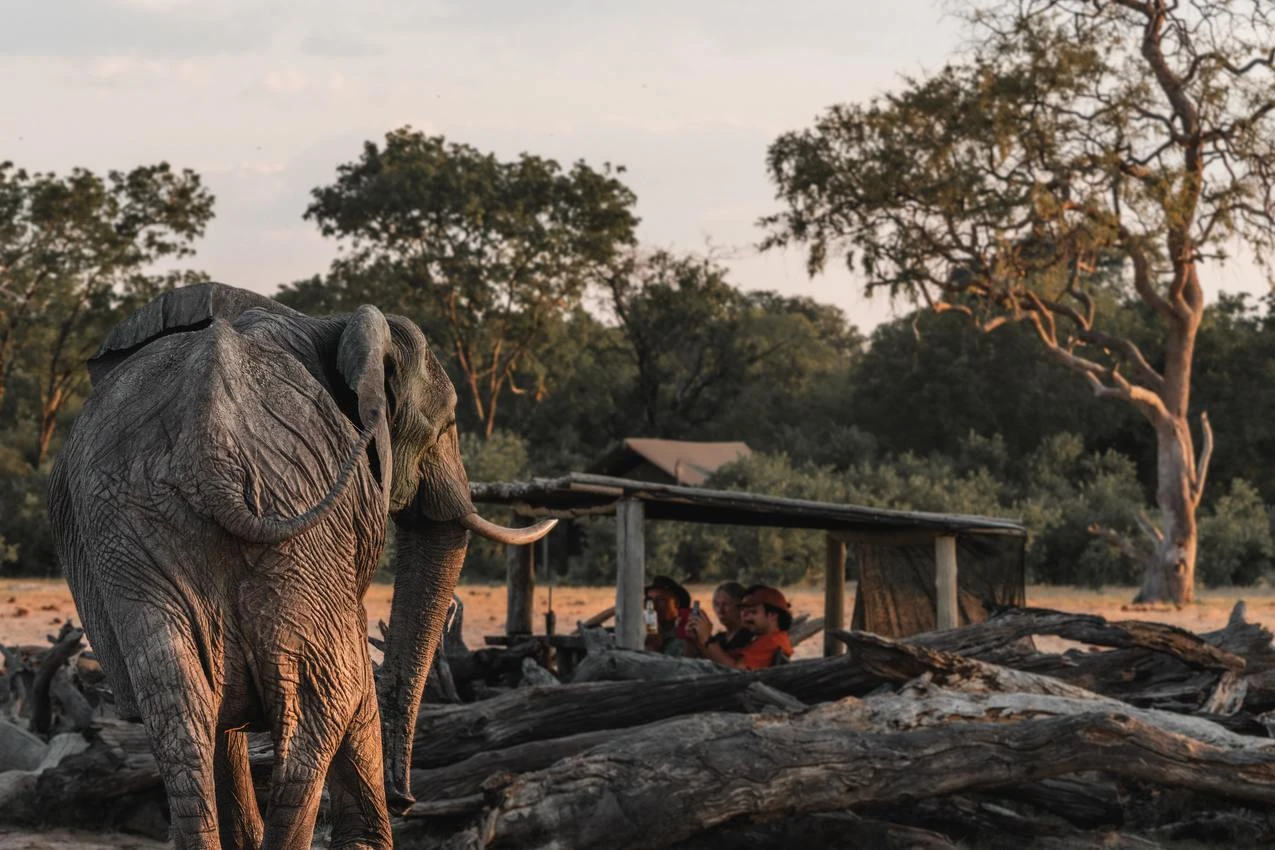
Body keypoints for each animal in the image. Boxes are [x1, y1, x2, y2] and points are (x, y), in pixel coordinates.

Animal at [47, 282, 553, 850]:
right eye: (445, 425)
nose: (406, 799)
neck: (326, 323)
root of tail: (212, 456)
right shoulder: (338, 535)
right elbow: (353, 677)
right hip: (289, 521)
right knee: (325, 701)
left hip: (140, 536)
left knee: (178, 706)